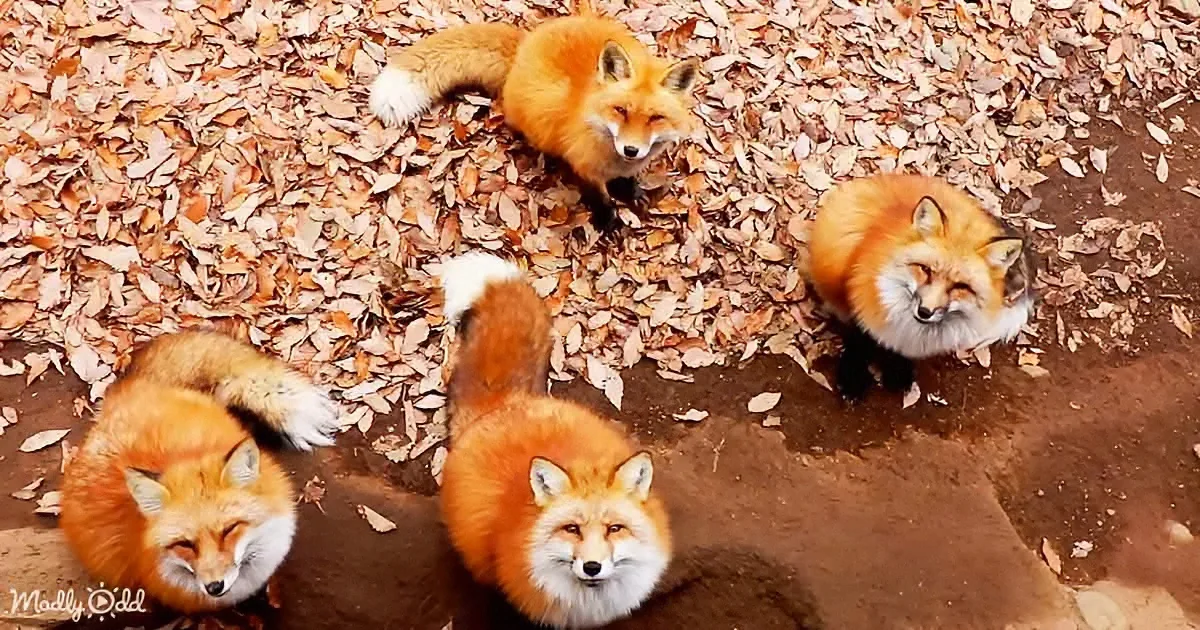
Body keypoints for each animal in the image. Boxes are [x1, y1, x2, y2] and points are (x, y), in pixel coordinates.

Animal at [368, 2, 700, 231]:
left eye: (656, 118)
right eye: (621, 110)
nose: (631, 149)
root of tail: (526, 43)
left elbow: (626, 180)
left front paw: (631, 190)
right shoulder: (584, 166)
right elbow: (598, 196)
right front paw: (608, 219)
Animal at [808, 173, 1035, 401]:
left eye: (961, 286)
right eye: (925, 270)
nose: (925, 311)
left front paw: (897, 368)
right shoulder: (859, 297)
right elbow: (859, 340)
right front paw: (852, 377)